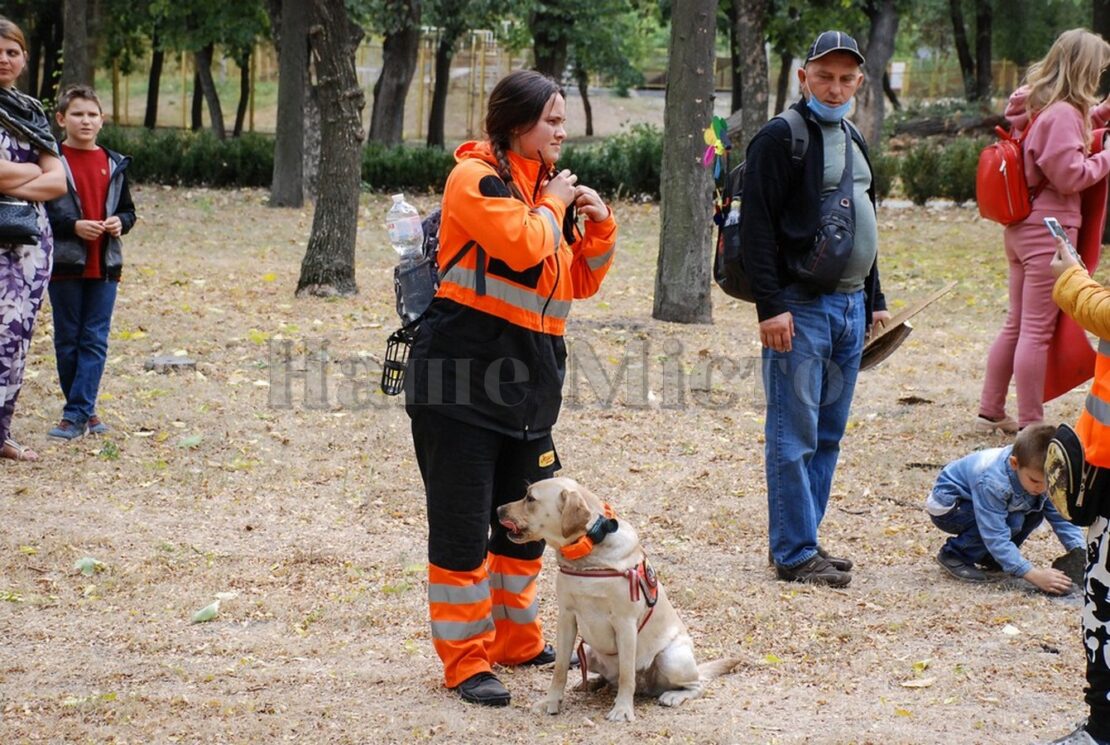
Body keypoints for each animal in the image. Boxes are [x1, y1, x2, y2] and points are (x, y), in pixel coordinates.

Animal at [499, 477, 741, 723]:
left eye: (530, 498)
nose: (499, 509)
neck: (589, 551)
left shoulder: (625, 624)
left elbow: (626, 674)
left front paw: (623, 709)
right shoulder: (566, 617)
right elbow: (560, 668)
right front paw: (551, 701)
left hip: (671, 658)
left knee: (697, 684)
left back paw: (673, 695)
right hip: (588, 651)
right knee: (606, 677)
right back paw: (590, 682)